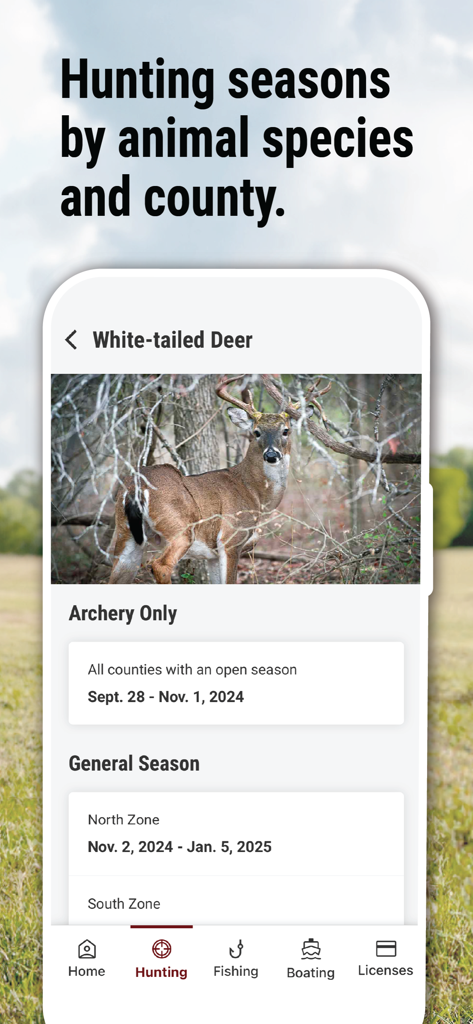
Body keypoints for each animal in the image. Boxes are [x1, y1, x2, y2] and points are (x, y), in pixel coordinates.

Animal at [108, 375, 295, 585]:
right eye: (256, 432)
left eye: (285, 430)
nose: (271, 455)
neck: (255, 494)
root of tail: (135, 489)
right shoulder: (231, 539)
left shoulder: (212, 555)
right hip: (180, 529)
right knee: (160, 566)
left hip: (125, 534)